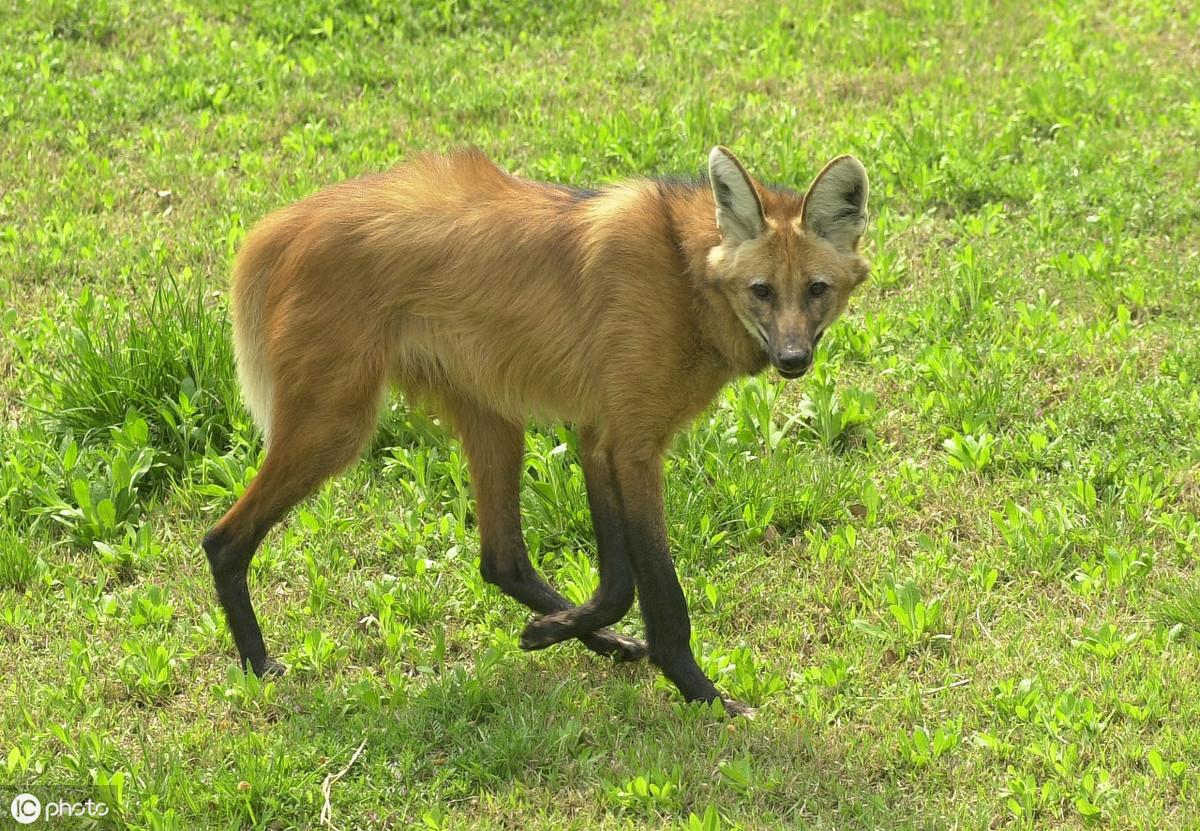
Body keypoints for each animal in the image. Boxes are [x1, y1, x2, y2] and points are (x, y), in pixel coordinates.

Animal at [201, 144, 868, 715]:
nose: (792, 359)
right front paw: (704, 695)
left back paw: (599, 640)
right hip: (337, 425)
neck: (686, 275)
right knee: (223, 539)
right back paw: (259, 666)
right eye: (761, 291)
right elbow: (659, 592)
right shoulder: (632, 444)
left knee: (501, 559)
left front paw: (555, 632)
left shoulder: (600, 436)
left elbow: (618, 582)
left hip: (492, 413)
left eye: (816, 290)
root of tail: (287, 223)